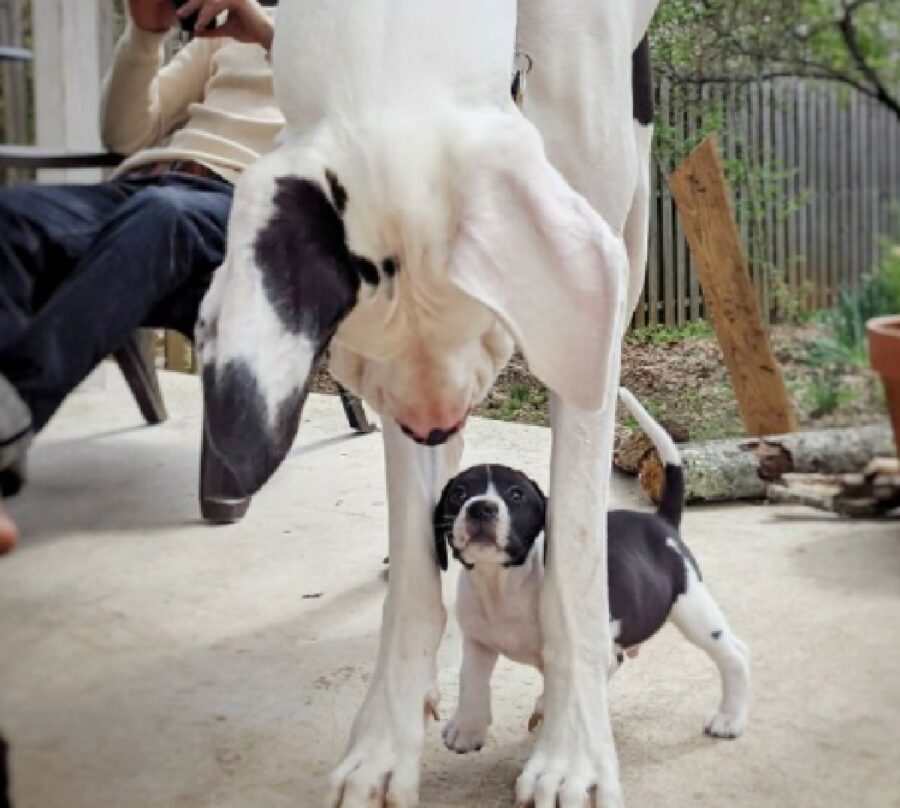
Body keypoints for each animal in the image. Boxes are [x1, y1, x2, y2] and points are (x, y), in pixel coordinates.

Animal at [197, 1, 656, 808]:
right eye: (357, 351)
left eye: (482, 322)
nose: (434, 425)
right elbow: (416, 582)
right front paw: (386, 740)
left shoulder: (580, 319)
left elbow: (572, 563)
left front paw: (572, 750)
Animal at [436, 388, 752, 756]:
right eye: (459, 493)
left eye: (516, 495)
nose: (481, 507)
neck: (503, 582)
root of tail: (661, 522)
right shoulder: (478, 641)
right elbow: (471, 681)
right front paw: (467, 729)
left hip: (691, 606)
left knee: (733, 654)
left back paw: (729, 719)